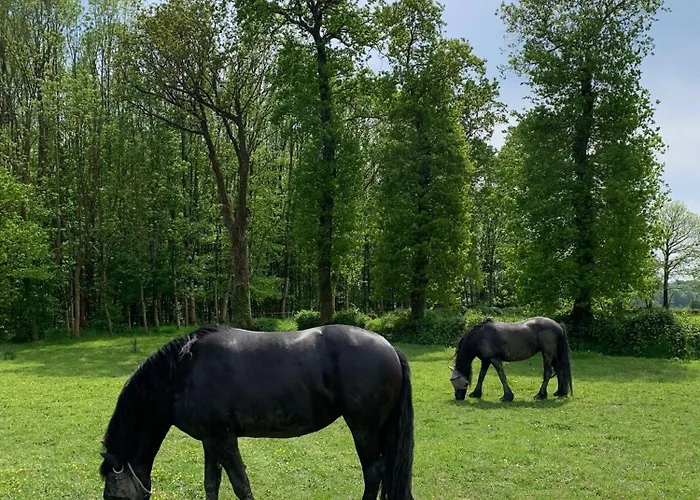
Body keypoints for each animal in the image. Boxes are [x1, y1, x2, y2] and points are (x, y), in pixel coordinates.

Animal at [99, 324, 414, 500]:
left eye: (114, 495)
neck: (182, 371)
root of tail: (390, 347)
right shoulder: (210, 441)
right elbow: (211, 484)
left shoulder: (224, 440)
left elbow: (241, 485)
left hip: (363, 429)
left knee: (373, 472)